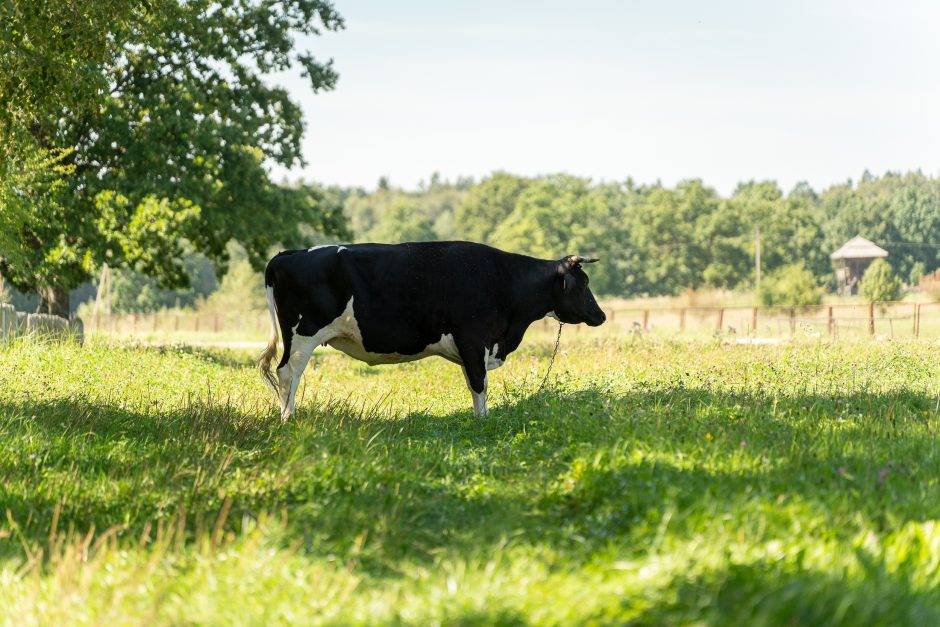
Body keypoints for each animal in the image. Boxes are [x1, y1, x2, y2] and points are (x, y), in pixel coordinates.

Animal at [260, 243, 604, 420]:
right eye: (583, 284)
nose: (600, 315)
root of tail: (287, 254)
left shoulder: (470, 348)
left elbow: (474, 382)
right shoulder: (473, 340)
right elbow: (479, 384)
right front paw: (483, 421)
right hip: (303, 335)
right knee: (288, 372)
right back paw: (288, 418)